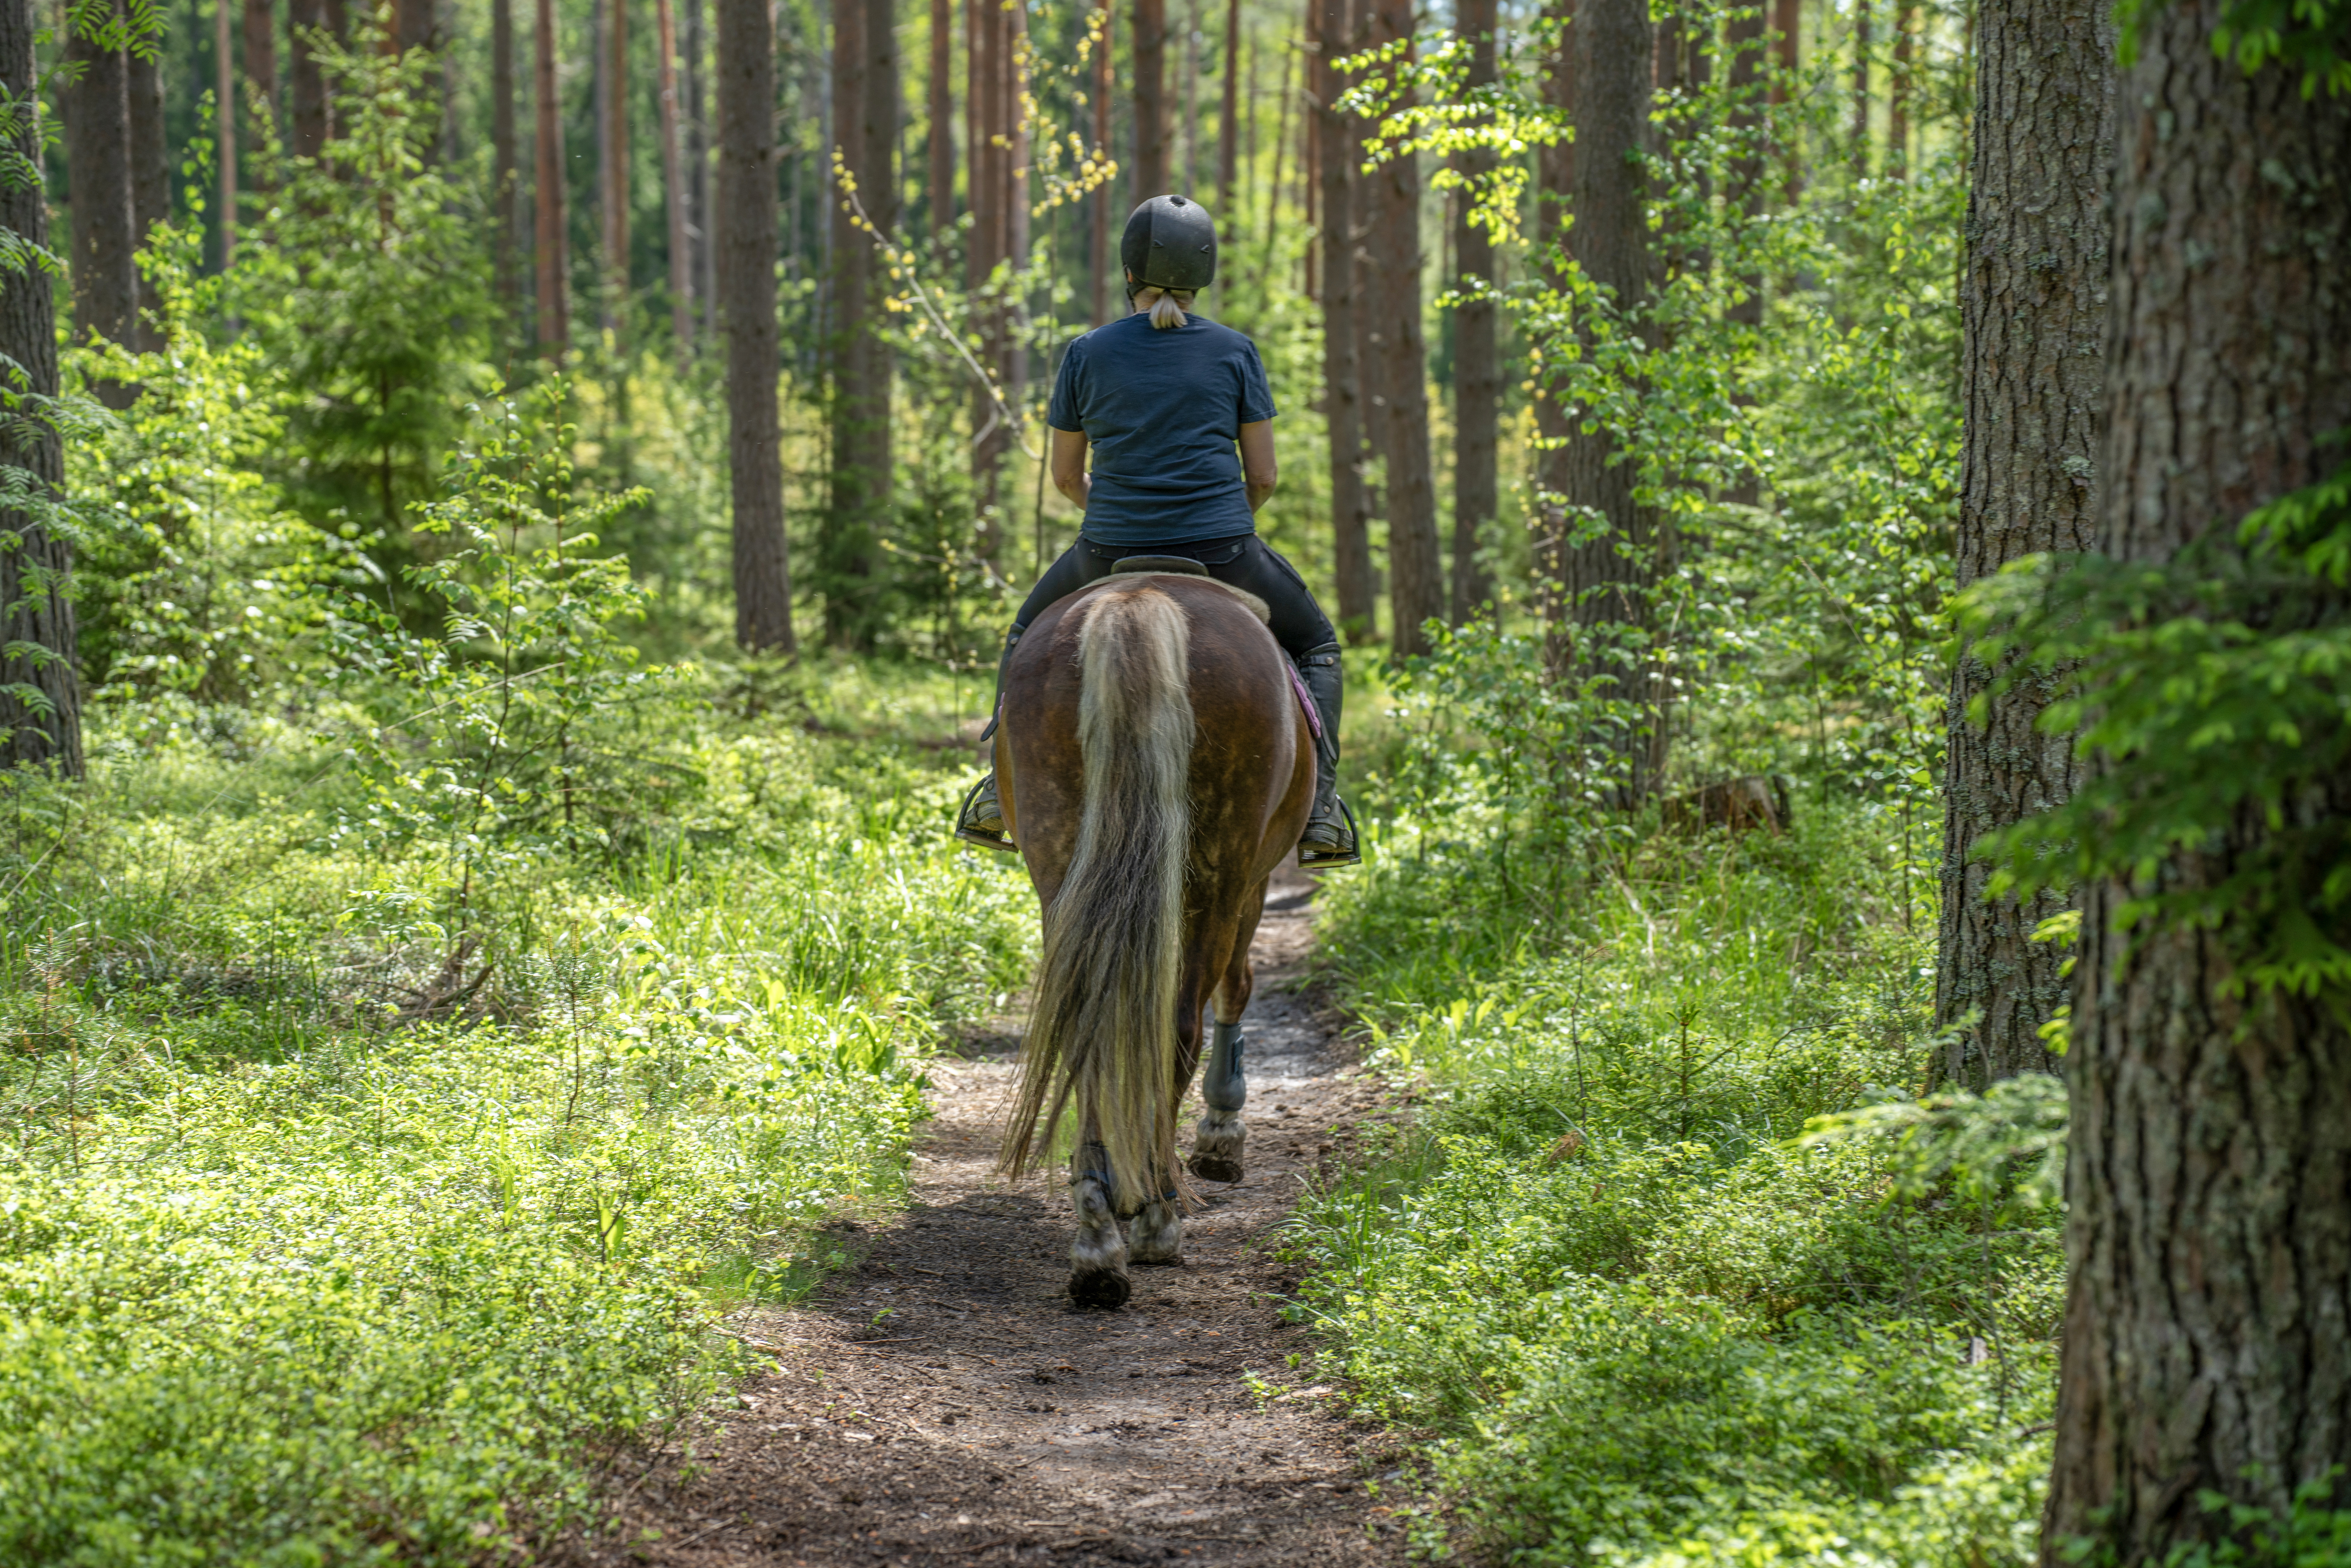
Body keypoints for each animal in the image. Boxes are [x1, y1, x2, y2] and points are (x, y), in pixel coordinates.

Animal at [990, 560, 1315, 1309]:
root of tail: (1138, 602)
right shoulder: (1251, 883)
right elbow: (1237, 988)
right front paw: (1222, 1136)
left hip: (1062, 856)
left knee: (1090, 1023)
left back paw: (1097, 1237)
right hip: (1221, 865)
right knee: (1178, 1024)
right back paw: (1156, 1217)